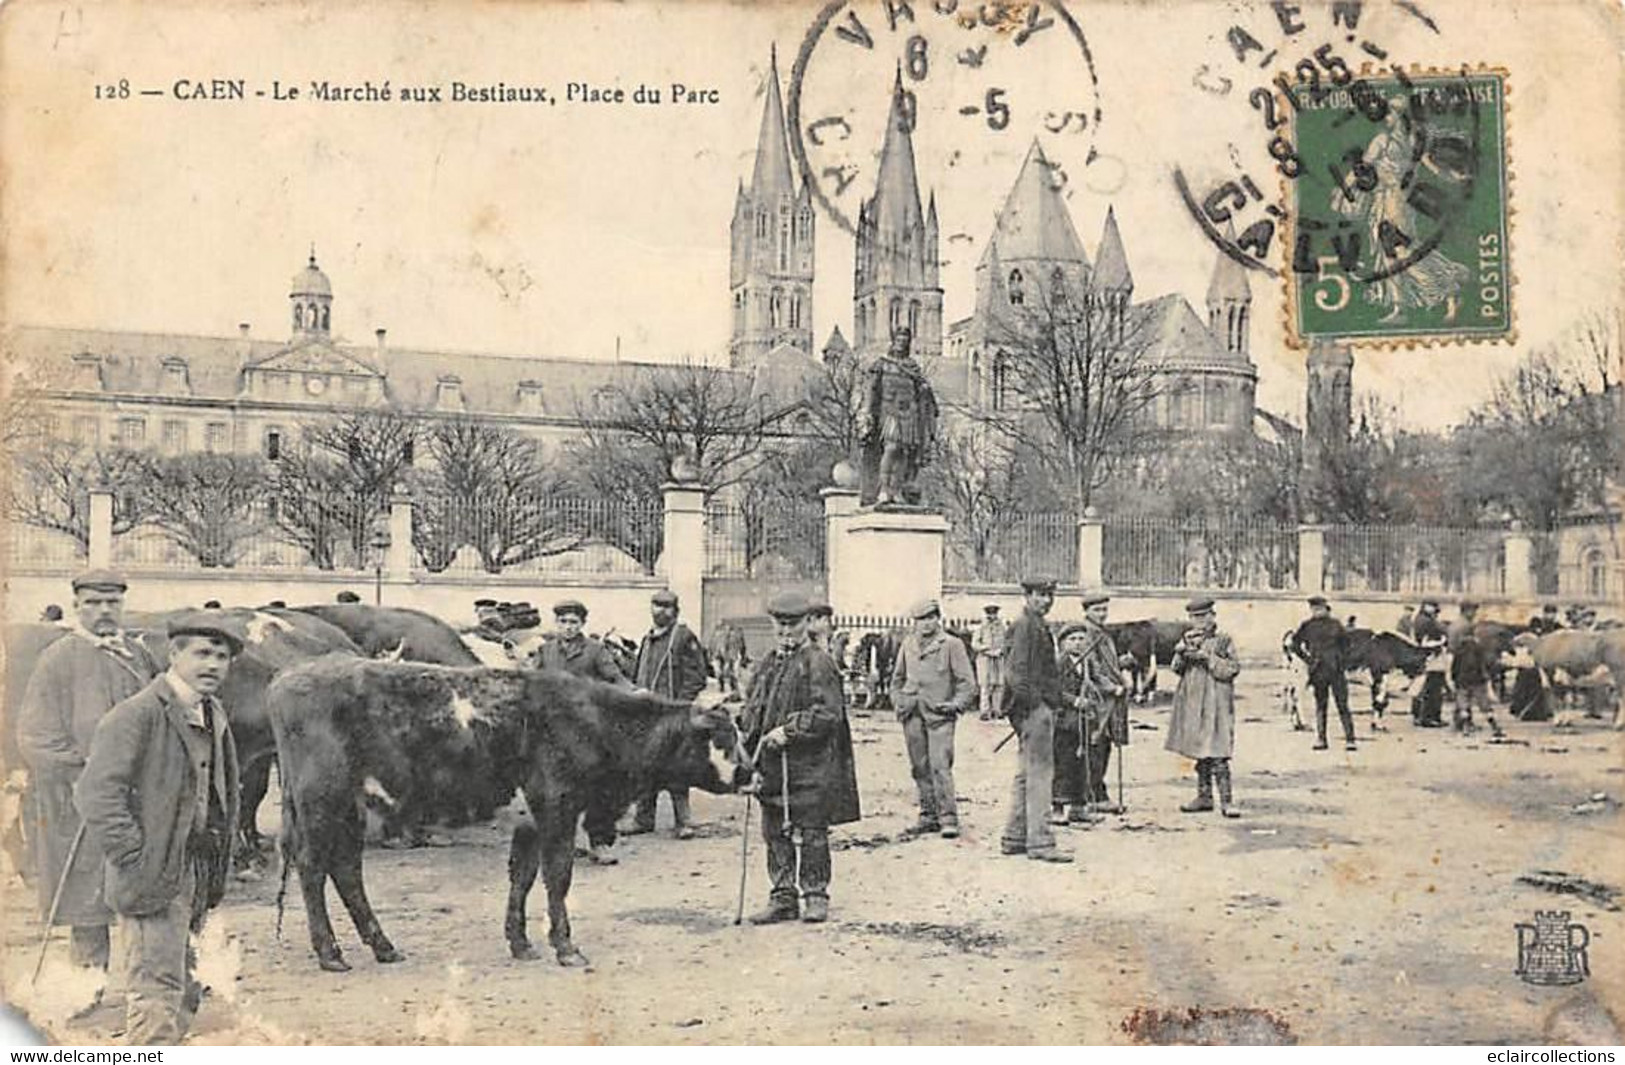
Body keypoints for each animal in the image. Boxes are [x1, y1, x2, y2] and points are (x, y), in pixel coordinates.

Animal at [266, 653, 747, 969]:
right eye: (722, 736)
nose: (750, 772)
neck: (592, 720)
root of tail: (287, 677)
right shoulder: (557, 809)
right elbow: (558, 877)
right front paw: (565, 947)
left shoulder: (529, 822)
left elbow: (523, 879)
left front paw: (521, 942)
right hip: (321, 802)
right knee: (313, 868)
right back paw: (330, 952)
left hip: (351, 808)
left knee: (346, 871)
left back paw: (382, 946)